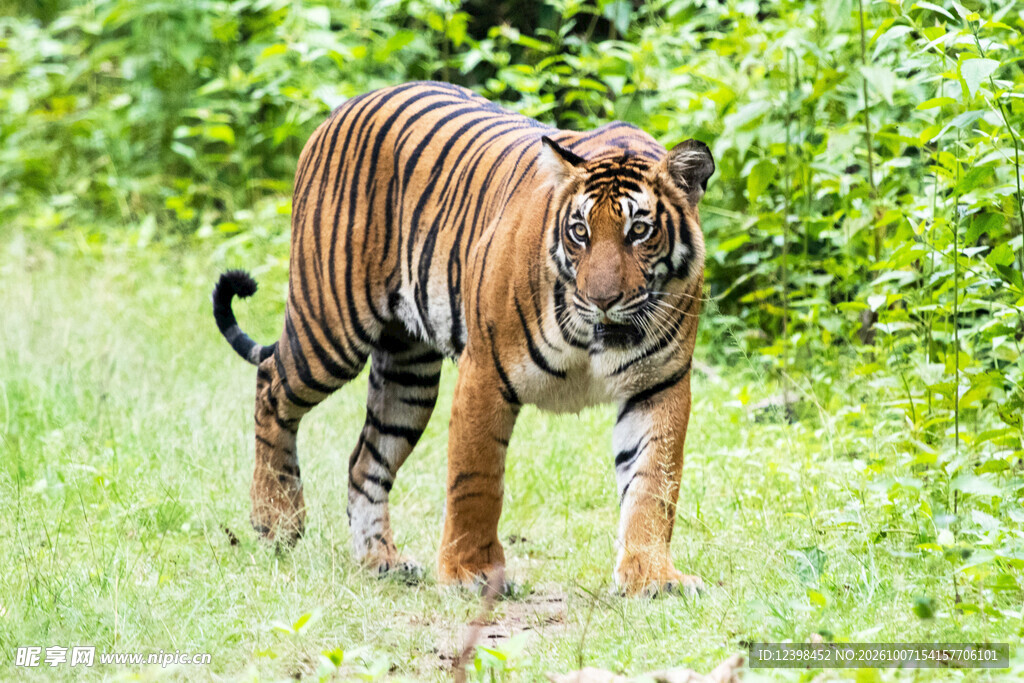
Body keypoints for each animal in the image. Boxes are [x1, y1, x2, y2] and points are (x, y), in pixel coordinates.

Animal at [212, 81, 714, 596]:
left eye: (640, 231)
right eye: (580, 232)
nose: (602, 299)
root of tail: (342, 109)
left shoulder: (660, 384)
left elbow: (654, 482)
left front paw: (652, 577)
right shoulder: (486, 371)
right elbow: (476, 477)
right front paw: (469, 572)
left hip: (407, 375)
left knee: (364, 462)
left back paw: (381, 559)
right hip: (330, 325)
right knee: (271, 385)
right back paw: (276, 519)